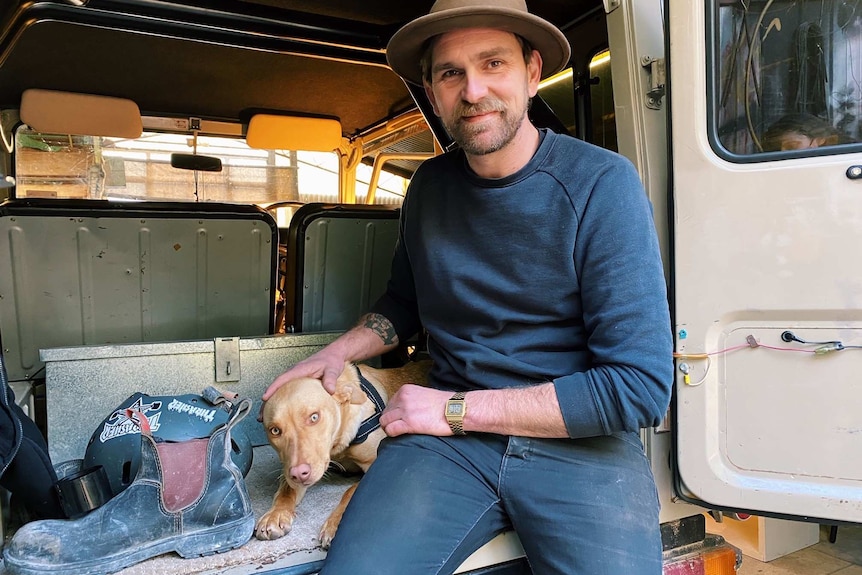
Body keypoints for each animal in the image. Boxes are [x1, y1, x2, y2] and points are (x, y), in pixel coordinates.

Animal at [255, 362, 432, 548]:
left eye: (314, 417)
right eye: (275, 431)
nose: (299, 474)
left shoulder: (375, 461)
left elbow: (350, 490)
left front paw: (334, 524)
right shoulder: (290, 468)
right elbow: (286, 490)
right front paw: (275, 515)